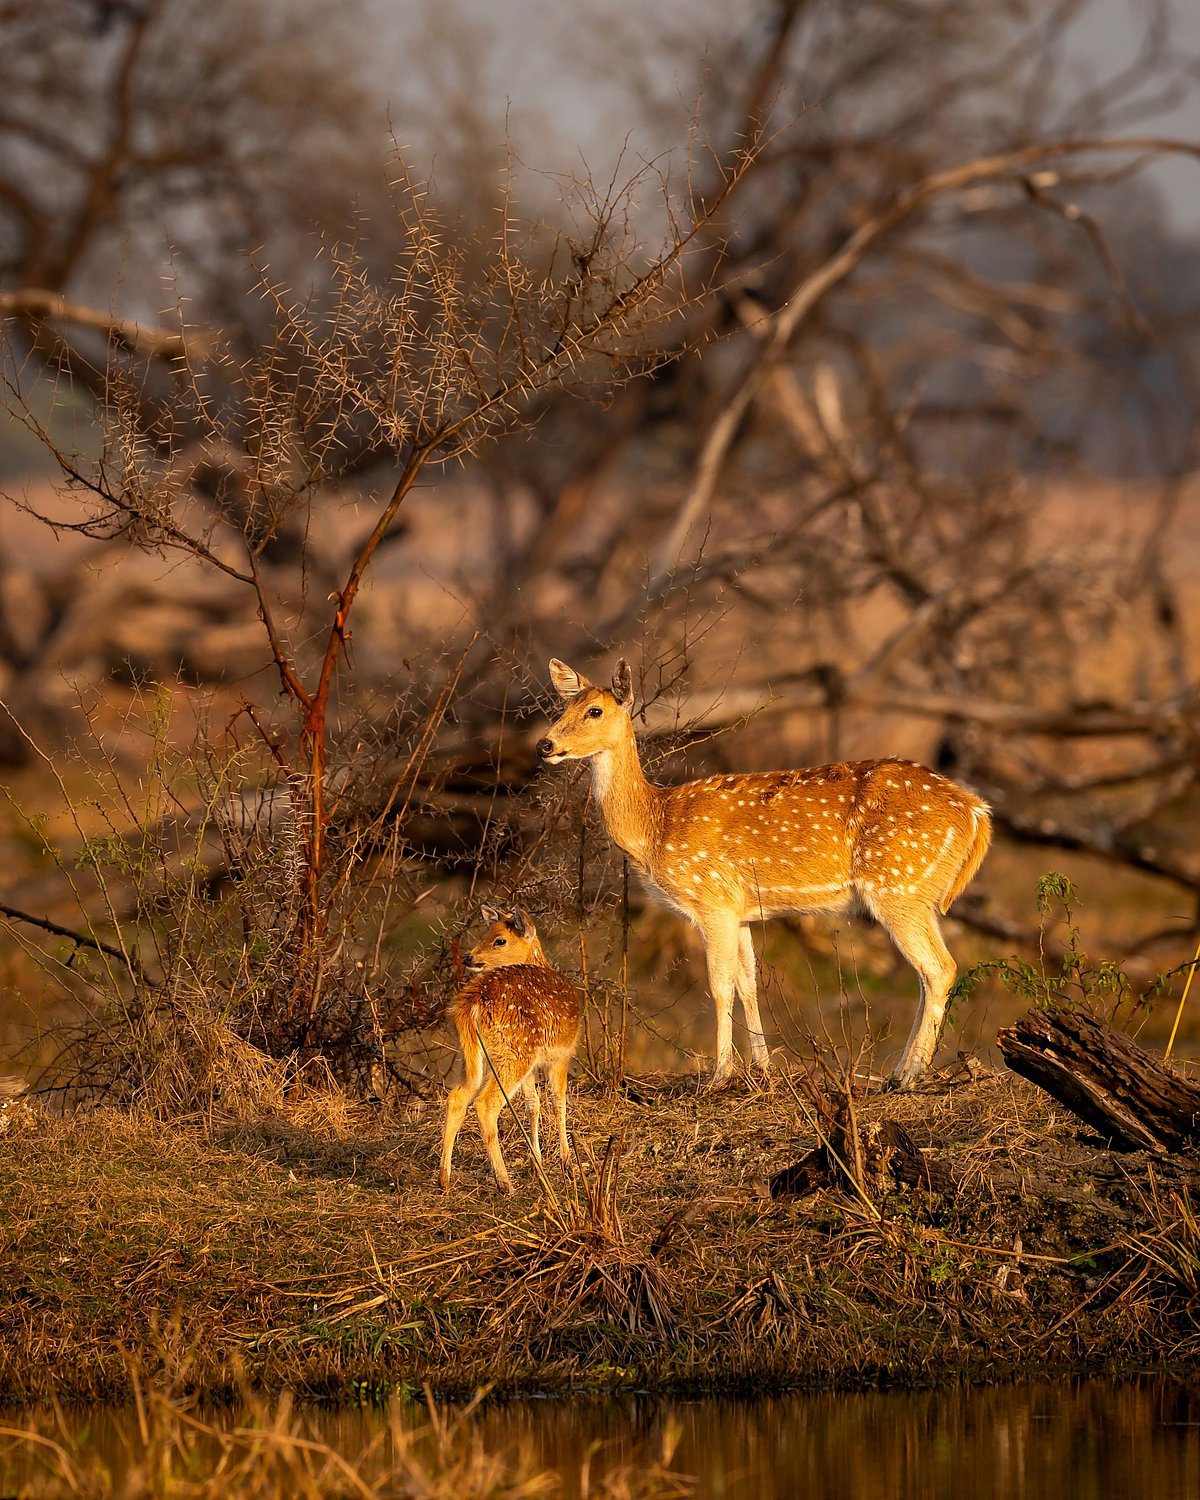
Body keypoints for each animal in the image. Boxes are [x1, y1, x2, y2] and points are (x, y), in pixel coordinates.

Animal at [439, 906, 581, 1193]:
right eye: (487, 933)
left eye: (499, 940)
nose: (468, 957)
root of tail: (469, 1007)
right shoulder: (562, 1055)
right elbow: (558, 1102)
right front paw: (567, 1165)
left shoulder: (535, 1064)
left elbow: (533, 1104)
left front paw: (537, 1166)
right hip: (513, 1053)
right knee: (485, 1104)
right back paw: (504, 1182)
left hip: (471, 1056)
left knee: (457, 1097)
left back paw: (444, 1181)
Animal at [537, 658, 992, 1089]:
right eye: (562, 706)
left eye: (594, 710)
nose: (545, 743)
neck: (655, 829)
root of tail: (976, 812)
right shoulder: (739, 911)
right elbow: (748, 983)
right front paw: (763, 1068)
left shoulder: (712, 900)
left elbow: (719, 986)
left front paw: (720, 1075)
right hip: (919, 892)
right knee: (927, 974)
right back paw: (900, 1072)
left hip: (897, 883)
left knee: (939, 968)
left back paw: (911, 1074)